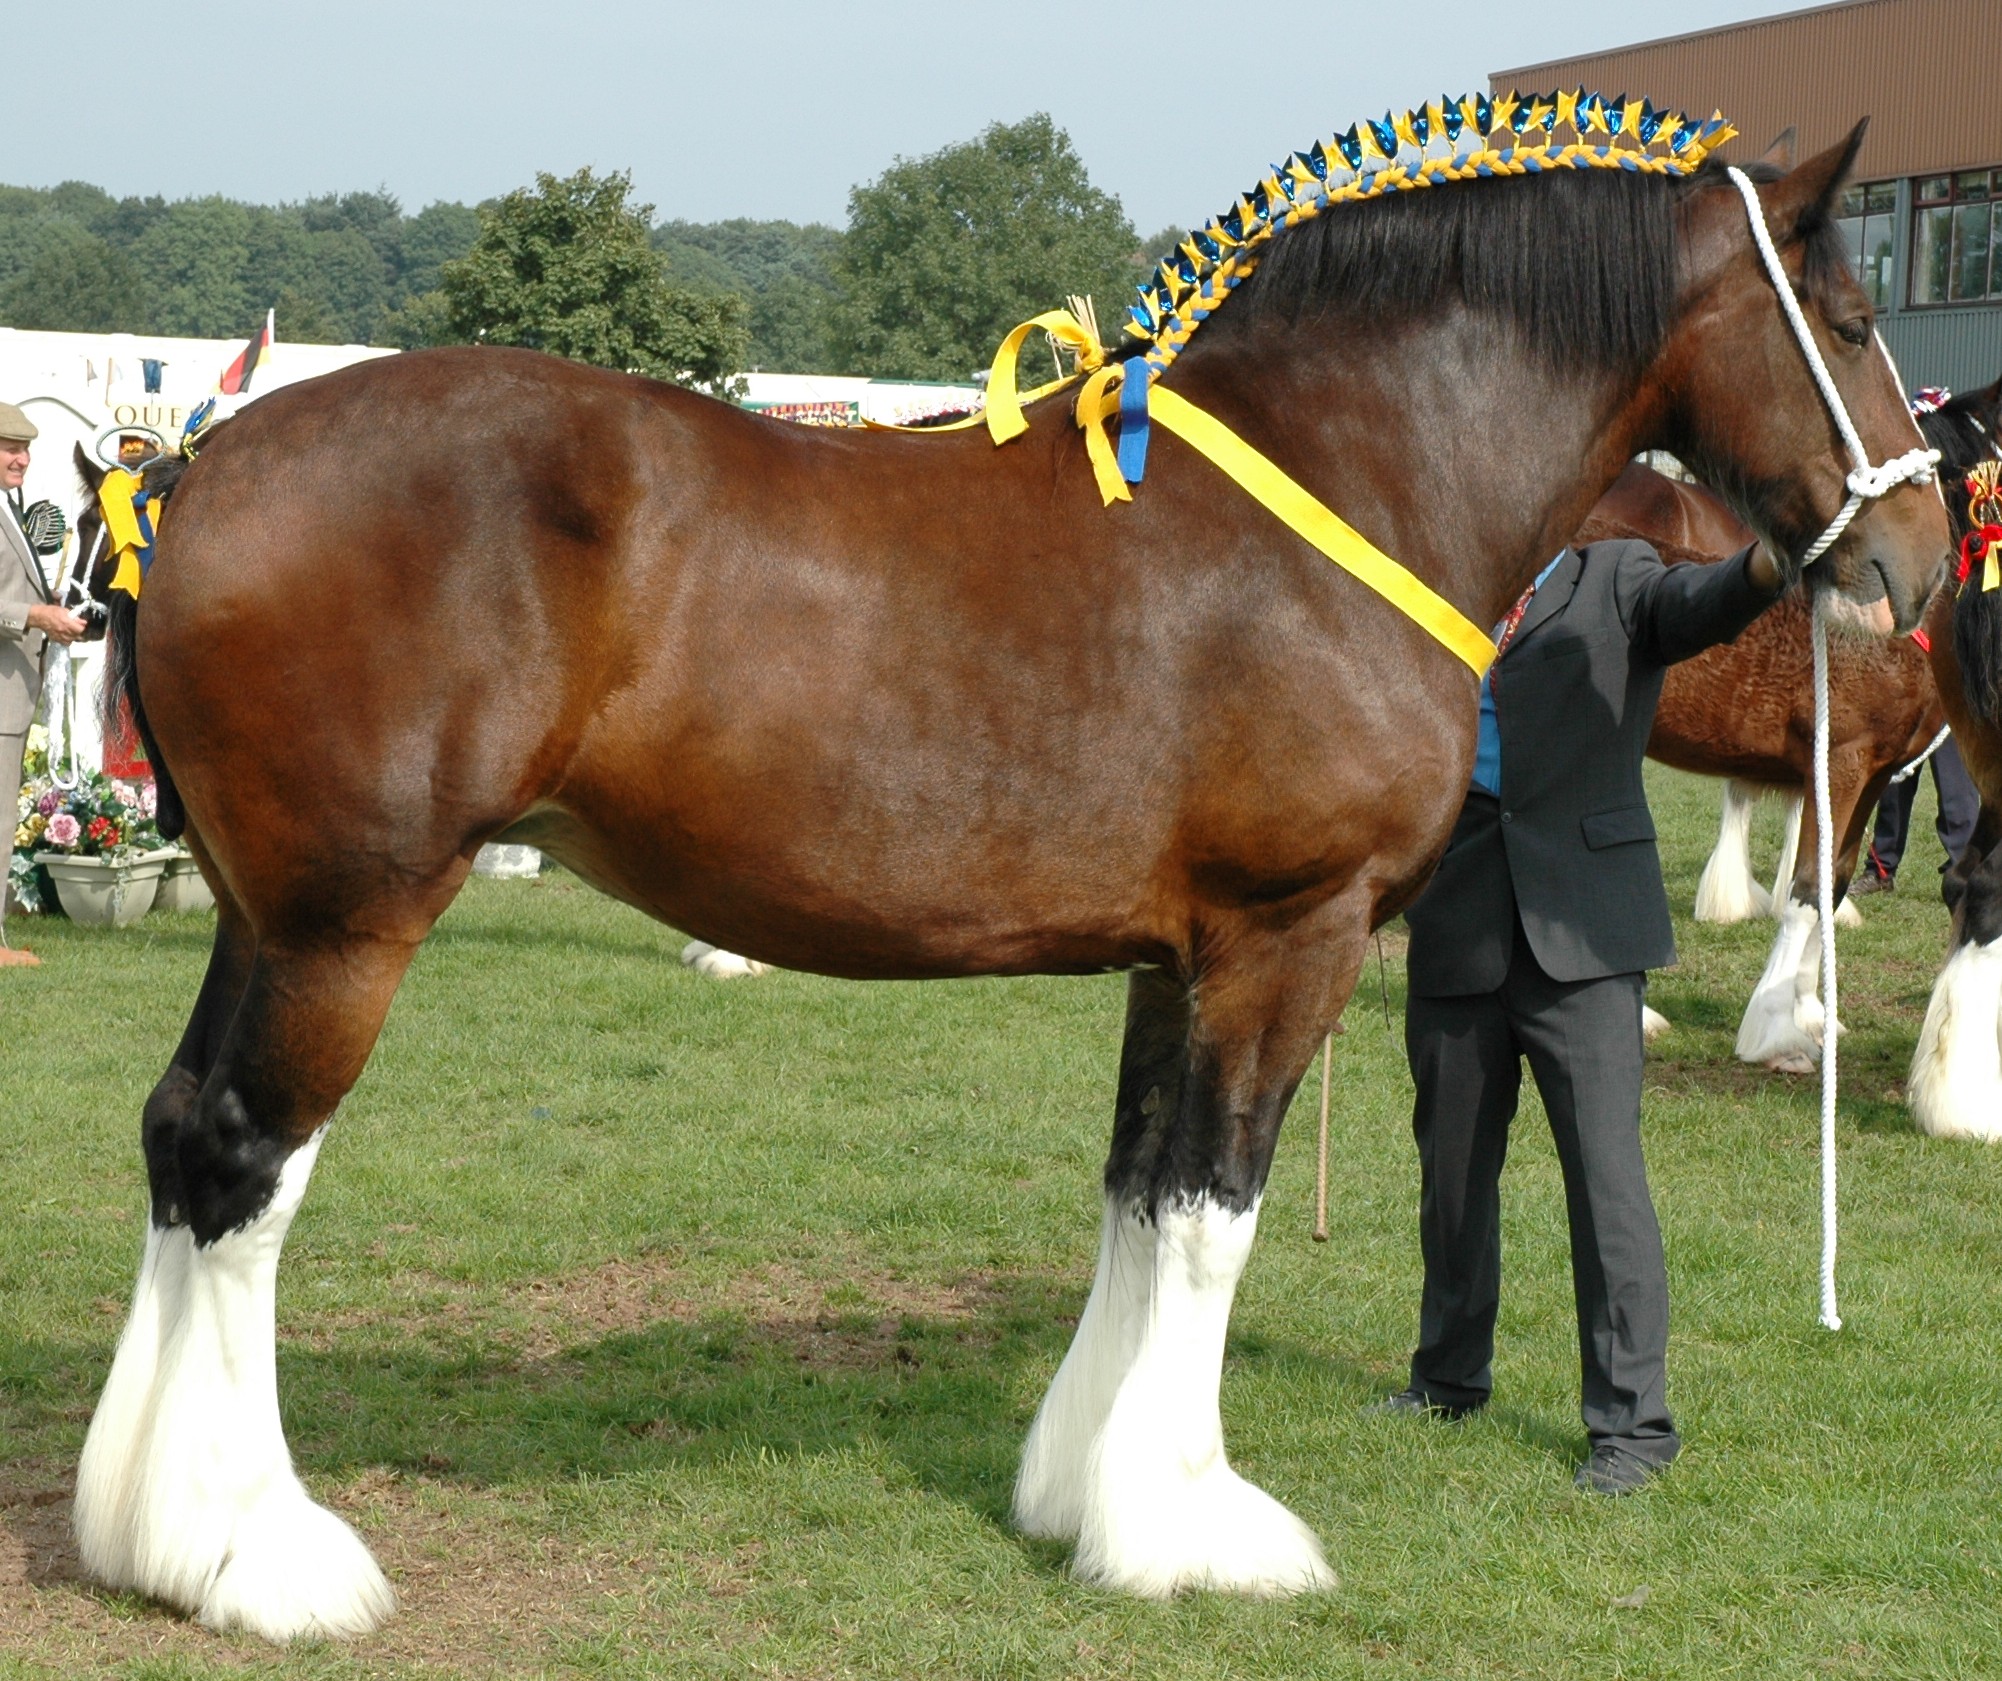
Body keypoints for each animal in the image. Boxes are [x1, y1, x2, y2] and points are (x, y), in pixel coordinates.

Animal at [1577, 460, 1937, 1072]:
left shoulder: (1872, 776)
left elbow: (1832, 884)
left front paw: (1812, 1016)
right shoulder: (1839, 764)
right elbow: (1807, 888)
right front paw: (1778, 1036)